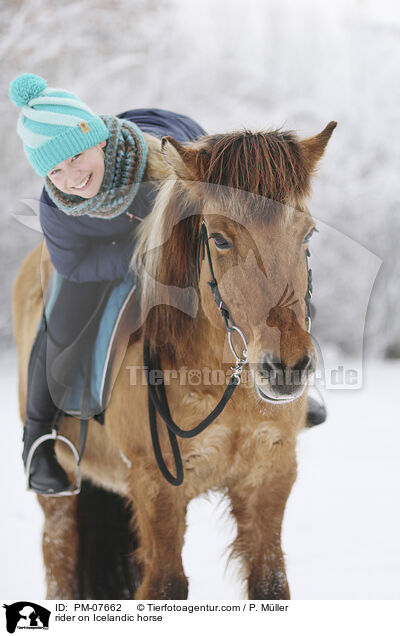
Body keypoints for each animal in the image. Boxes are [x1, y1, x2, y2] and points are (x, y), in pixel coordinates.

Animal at [12, 120, 336, 600]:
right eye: (219, 239)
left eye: (307, 233)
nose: (288, 367)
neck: (222, 387)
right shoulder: (155, 487)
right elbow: (165, 585)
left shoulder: (270, 475)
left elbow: (270, 585)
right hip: (61, 497)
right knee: (59, 563)